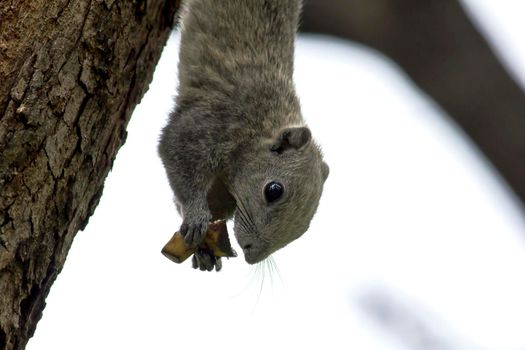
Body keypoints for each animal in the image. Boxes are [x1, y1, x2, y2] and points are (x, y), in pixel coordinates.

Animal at [158, 0, 328, 268]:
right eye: (274, 190)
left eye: (304, 229)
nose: (251, 256)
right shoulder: (211, 122)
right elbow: (175, 150)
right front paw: (195, 215)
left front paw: (205, 248)